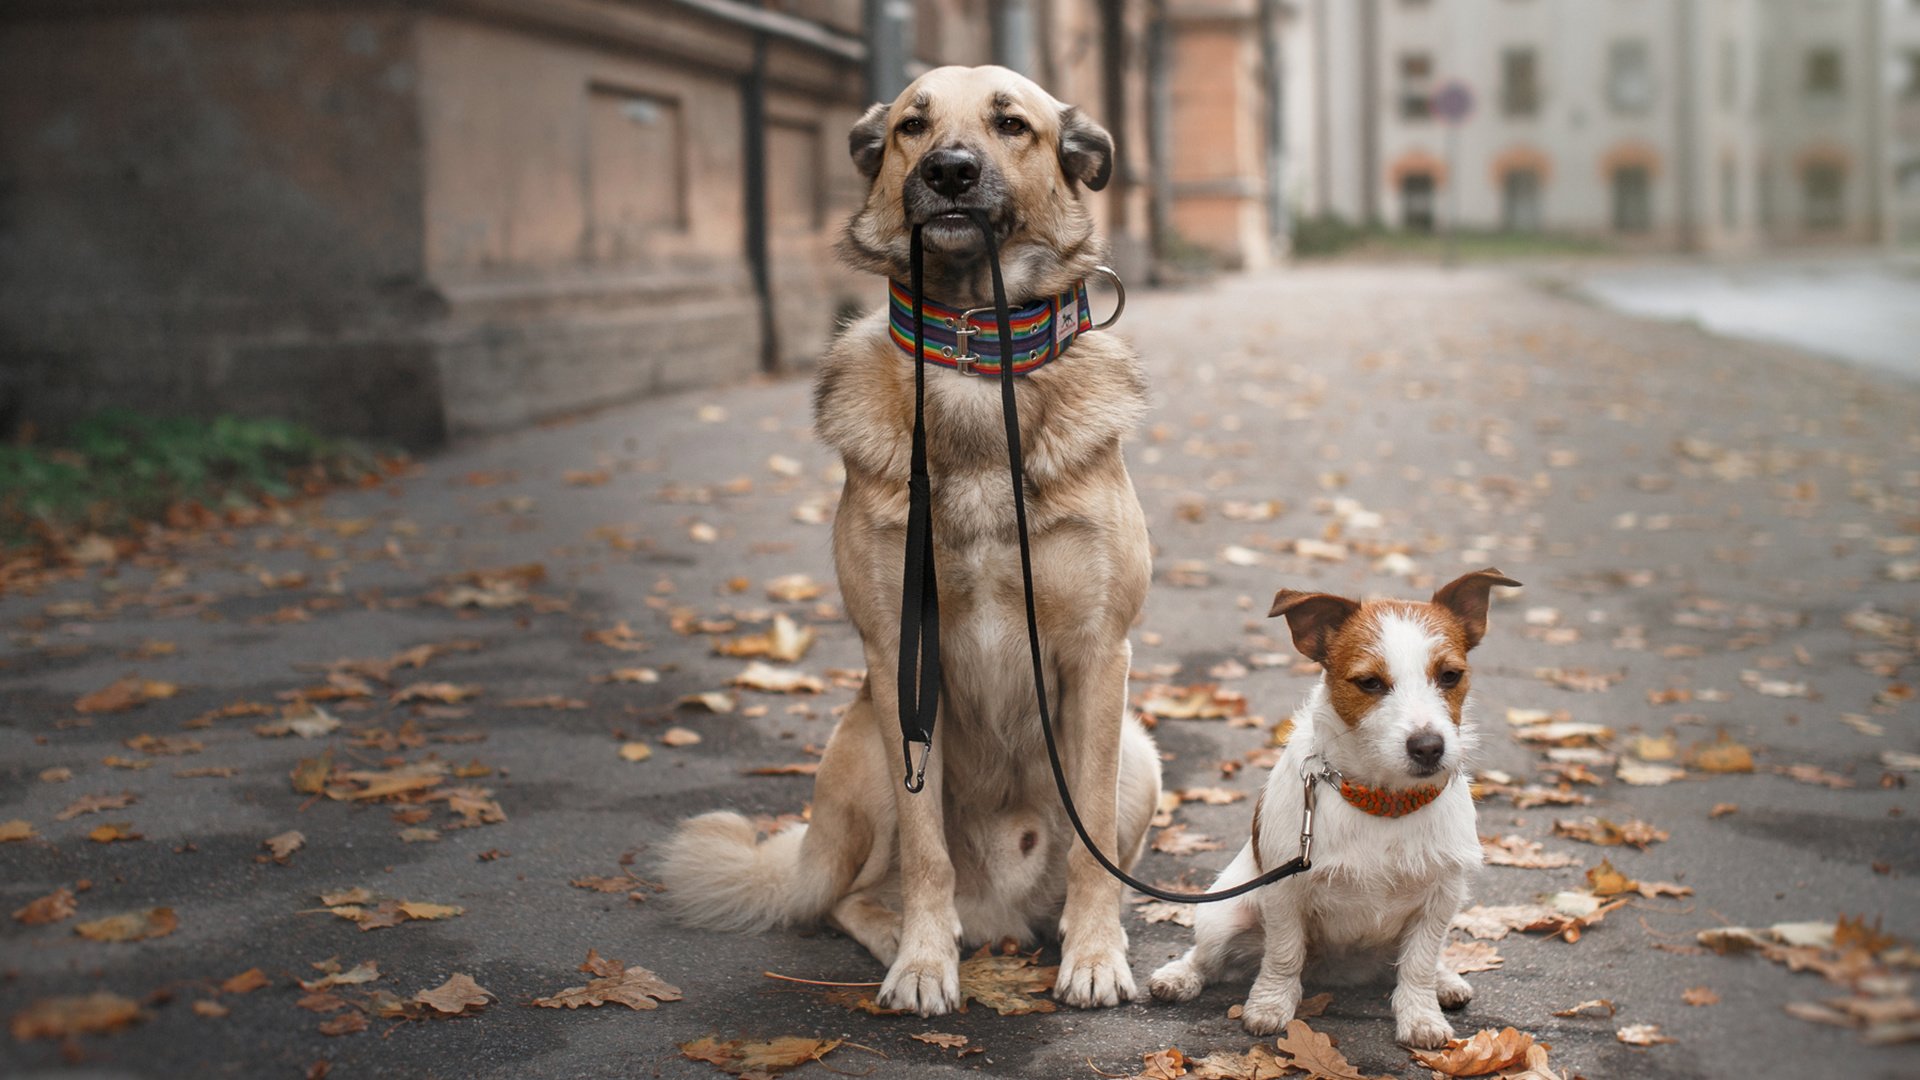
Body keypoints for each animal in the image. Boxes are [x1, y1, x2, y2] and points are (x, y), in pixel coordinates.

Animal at [660, 65, 1159, 1006]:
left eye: (1011, 124)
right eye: (911, 127)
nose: (950, 172)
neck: (973, 354)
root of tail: (1003, 912)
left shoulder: (1098, 657)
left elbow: (1093, 846)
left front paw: (1095, 954)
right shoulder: (900, 652)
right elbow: (927, 851)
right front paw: (926, 961)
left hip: (1138, 753)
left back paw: (1072, 930)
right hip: (863, 743)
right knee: (850, 895)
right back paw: (909, 935)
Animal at [1144, 568, 1520, 1045]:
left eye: (1450, 676)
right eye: (1370, 683)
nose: (1429, 747)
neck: (1384, 802)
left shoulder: (1441, 896)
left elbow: (1417, 965)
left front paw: (1421, 1016)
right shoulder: (1284, 893)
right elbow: (1283, 954)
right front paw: (1270, 1005)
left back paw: (1444, 979)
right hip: (1224, 914)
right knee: (1206, 955)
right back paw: (1180, 976)